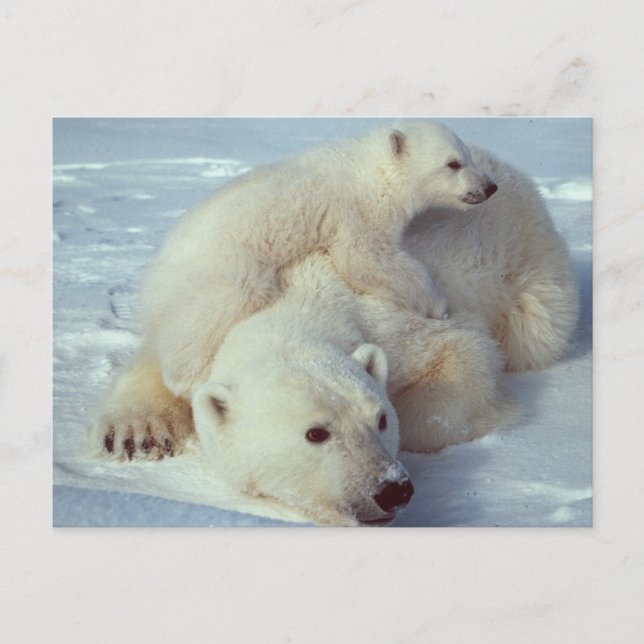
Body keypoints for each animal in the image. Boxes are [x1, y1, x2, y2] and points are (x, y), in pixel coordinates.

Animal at [140, 121, 498, 398]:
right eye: (453, 163)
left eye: (468, 156)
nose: (490, 187)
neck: (372, 171)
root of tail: (155, 276)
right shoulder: (356, 210)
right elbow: (366, 258)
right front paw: (438, 304)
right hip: (223, 266)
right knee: (218, 308)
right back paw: (189, 378)